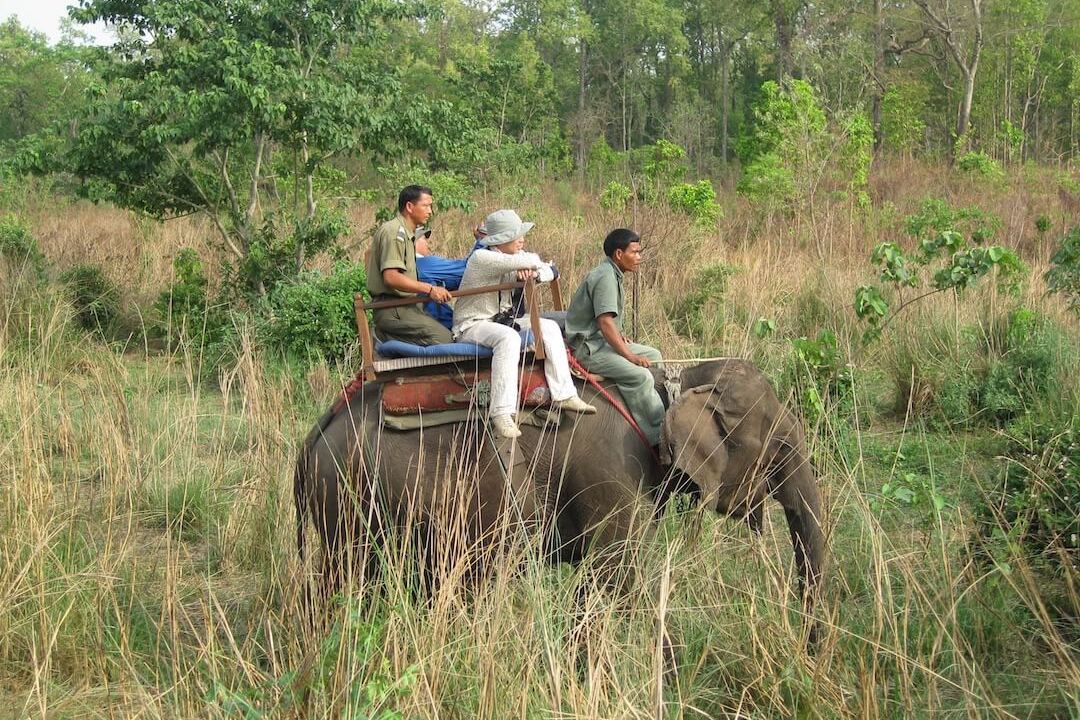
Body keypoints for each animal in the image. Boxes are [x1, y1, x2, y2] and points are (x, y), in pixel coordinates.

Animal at [291, 360, 820, 634]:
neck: (675, 381)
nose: (809, 646)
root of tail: (315, 434)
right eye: (781, 447)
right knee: (346, 581)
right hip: (349, 504)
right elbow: (616, 581)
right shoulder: (612, 478)